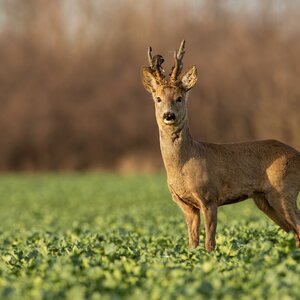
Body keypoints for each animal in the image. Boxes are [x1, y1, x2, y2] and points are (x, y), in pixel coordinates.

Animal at [141, 39, 300, 251]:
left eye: (179, 98)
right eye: (158, 98)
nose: (169, 115)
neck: (184, 163)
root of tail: (298, 154)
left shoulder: (209, 196)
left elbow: (210, 243)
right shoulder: (185, 204)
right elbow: (192, 243)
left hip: (284, 189)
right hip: (264, 199)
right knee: (294, 232)